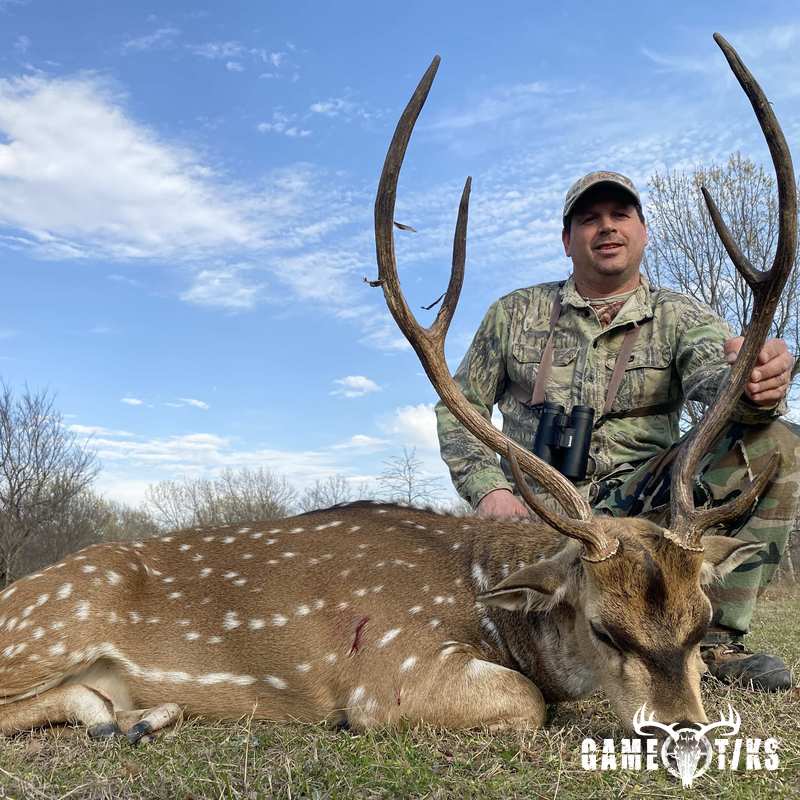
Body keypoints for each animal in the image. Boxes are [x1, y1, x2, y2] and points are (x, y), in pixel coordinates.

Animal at [0, 33, 795, 744]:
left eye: (700, 622)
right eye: (605, 628)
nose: (684, 729)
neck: (488, 601)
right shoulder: (388, 670)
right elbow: (527, 699)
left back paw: (139, 715)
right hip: (49, 624)